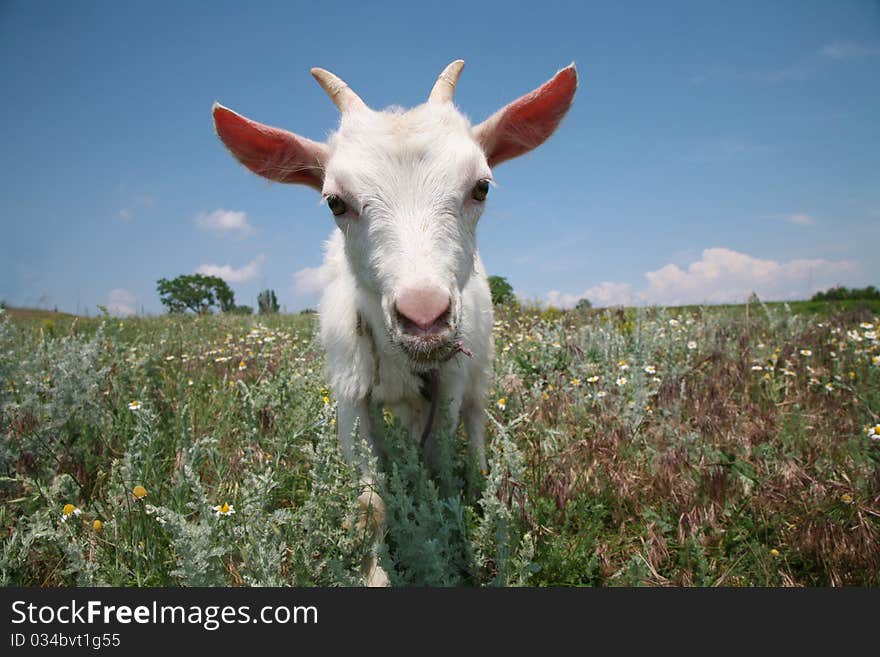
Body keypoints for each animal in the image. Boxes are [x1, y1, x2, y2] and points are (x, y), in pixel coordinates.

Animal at [215, 61, 576, 584]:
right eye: (335, 202)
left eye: (481, 187)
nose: (424, 316)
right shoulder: (349, 392)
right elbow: (370, 504)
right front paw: (376, 573)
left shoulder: (449, 381)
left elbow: (438, 462)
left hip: (480, 368)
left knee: (475, 421)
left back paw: (479, 479)